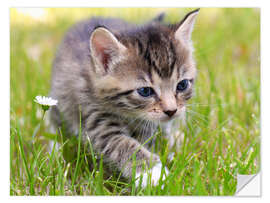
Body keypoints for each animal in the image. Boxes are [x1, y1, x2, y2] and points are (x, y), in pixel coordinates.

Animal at [49, 9, 199, 187]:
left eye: (182, 85)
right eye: (145, 91)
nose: (171, 111)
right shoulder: (93, 117)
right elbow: (121, 143)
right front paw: (153, 173)